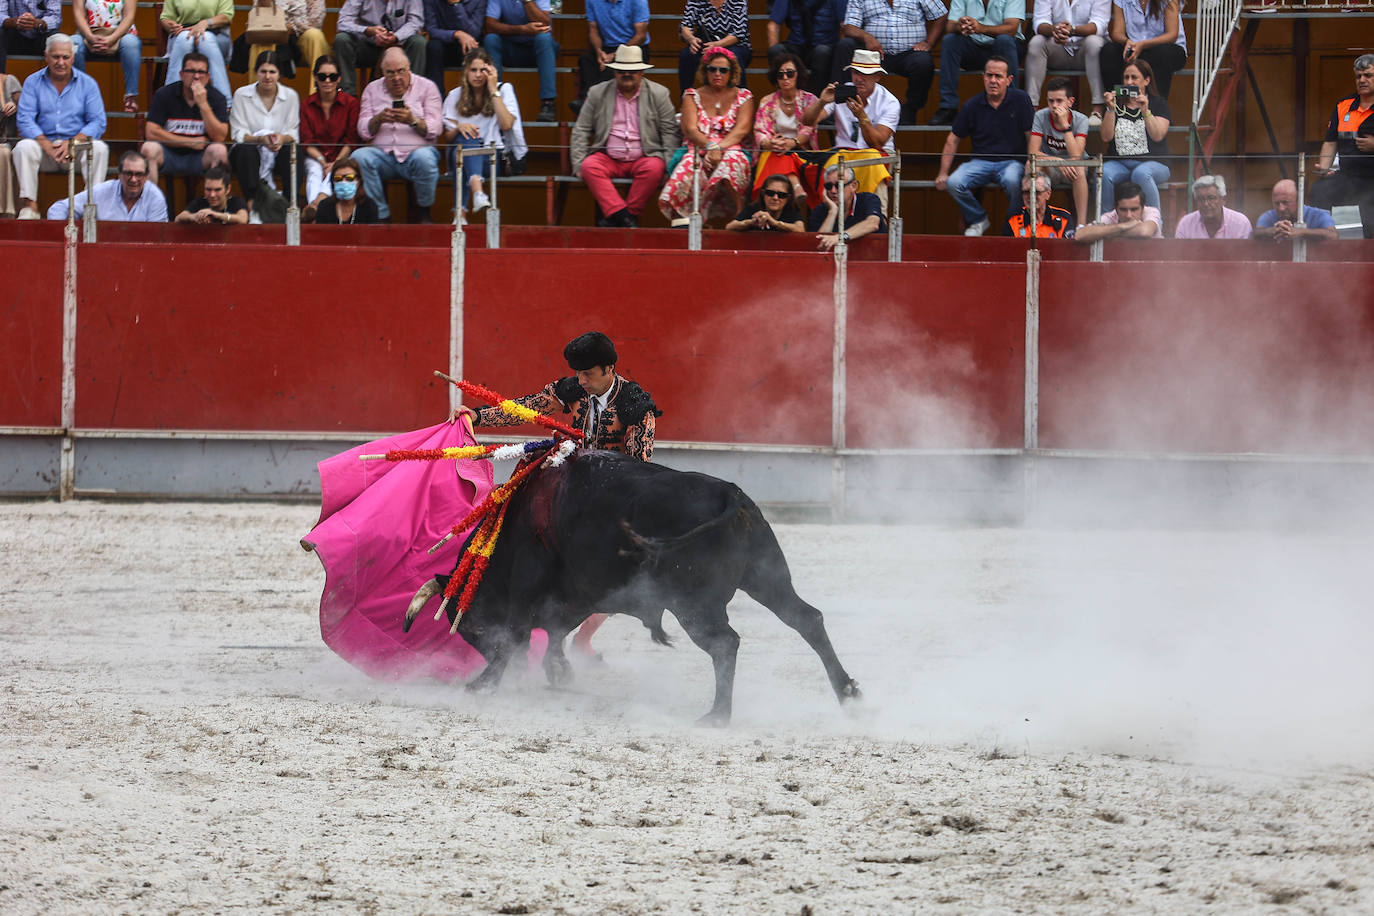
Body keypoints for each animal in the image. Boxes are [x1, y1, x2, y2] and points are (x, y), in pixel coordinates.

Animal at [401, 450, 862, 725]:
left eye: (470, 627)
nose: (514, 676)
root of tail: (729, 494)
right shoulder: (573, 596)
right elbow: (555, 632)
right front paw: (559, 673)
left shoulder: (530, 582)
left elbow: (518, 632)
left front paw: (483, 683)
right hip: (767, 576)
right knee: (806, 618)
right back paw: (847, 692)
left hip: (694, 604)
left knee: (725, 643)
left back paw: (717, 715)